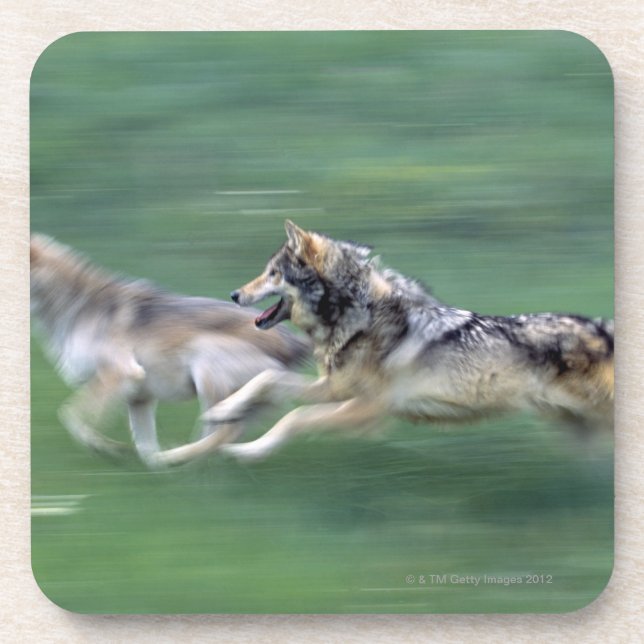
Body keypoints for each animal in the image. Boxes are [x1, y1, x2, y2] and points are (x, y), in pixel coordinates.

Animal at [30, 234, 309, 467]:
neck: (75, 307)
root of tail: (297, 343)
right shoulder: (139, 398)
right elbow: (145, 447)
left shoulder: (121, 374)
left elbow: (70, 415)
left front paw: (102, 446)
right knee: (223, 435)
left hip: (208, 366)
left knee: (224, 432)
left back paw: (183, 460)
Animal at [202, 220, 613, 462]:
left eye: (273, 274)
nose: (234, 294)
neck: (360, 316)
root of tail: (603, 327)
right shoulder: (336, 388)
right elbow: (268, 379)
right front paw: (222, 412)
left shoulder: (367, 410)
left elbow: (295, 418)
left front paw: (248, 449)